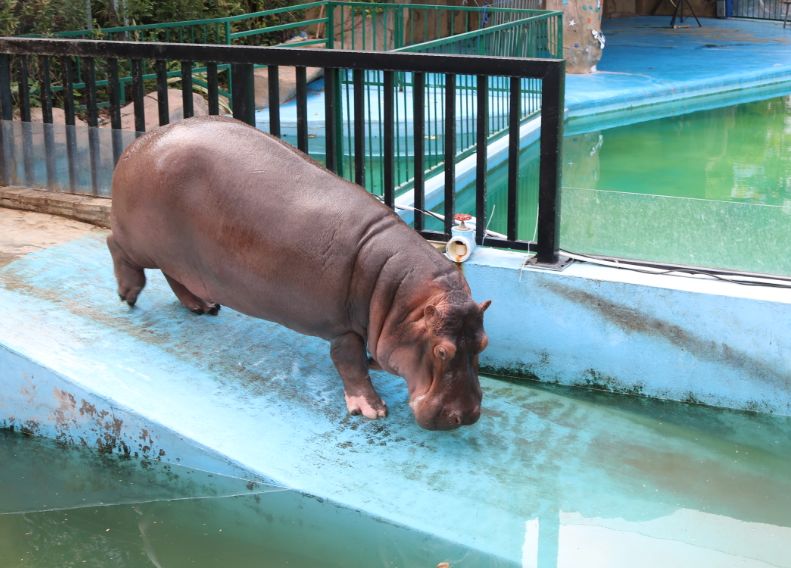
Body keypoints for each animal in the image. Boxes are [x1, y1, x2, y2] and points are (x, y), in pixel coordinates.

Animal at [105, 116, 488, 430]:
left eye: (482, 343)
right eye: (441, 351)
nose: (468, 416)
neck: (401, 297)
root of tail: (139, 144)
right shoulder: (343, 329)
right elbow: (349, 362)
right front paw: (372, 409)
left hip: (177, 253)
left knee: (176, 277)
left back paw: (203, 307)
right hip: (140, 240)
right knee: (116, 245)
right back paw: (128, 295)